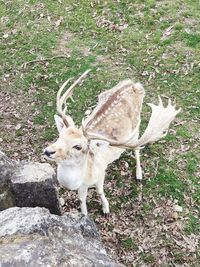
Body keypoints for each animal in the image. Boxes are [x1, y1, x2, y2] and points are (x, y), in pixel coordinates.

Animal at [44, 70, 181, 217]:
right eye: (59, 136)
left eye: (78, 146)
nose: (48, 151)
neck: (81, 178)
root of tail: (134, 84)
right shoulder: (82, 186)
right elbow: (81, 199)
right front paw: (84, 215)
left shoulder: (100, 174)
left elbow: (99, 191)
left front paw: (106, 209)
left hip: (135, 127)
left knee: (137, 148)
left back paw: (139, 174)